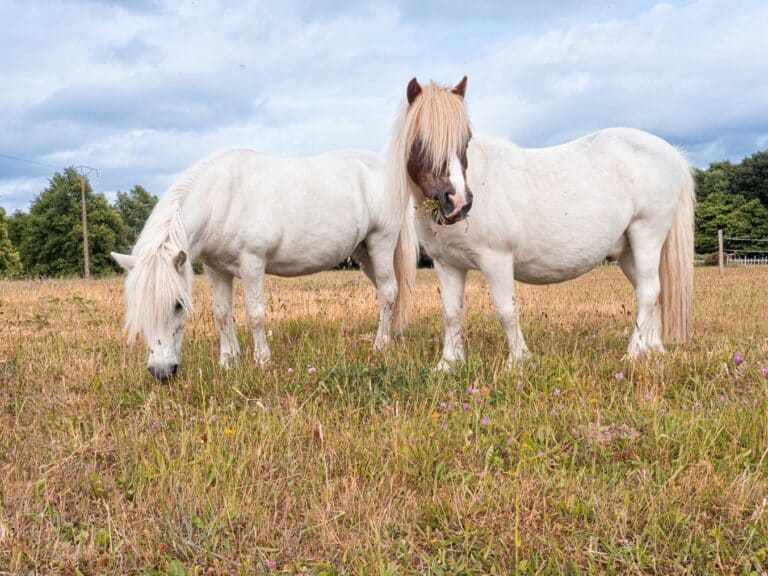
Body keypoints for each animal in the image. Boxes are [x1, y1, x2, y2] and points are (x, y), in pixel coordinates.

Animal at [111, 148, 417, 379]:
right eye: (137, 306)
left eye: (177, 304)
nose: (161, 371)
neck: (222, 198)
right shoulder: (216, 269)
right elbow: (222, 314)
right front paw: (228, 361)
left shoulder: (252, 263)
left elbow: (255, 315)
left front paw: (262, 362)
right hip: (364, 253)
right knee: (393, 292)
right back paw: (397, 337)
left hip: (381, 243)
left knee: (388, 293)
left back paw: (380, 346)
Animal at [387, 77, 695, 371]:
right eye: (419, 142)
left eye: (465, 141)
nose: (459, 202)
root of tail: (671, 153)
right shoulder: (447, 264)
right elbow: (451, 313)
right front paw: (448, 364)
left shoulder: (496, 259)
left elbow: (506, 310)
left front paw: (518, 362)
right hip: (628, 251)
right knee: (652, 292)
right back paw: (651, 351)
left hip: (647, 236)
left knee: (648, 293)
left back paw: (633, 354)